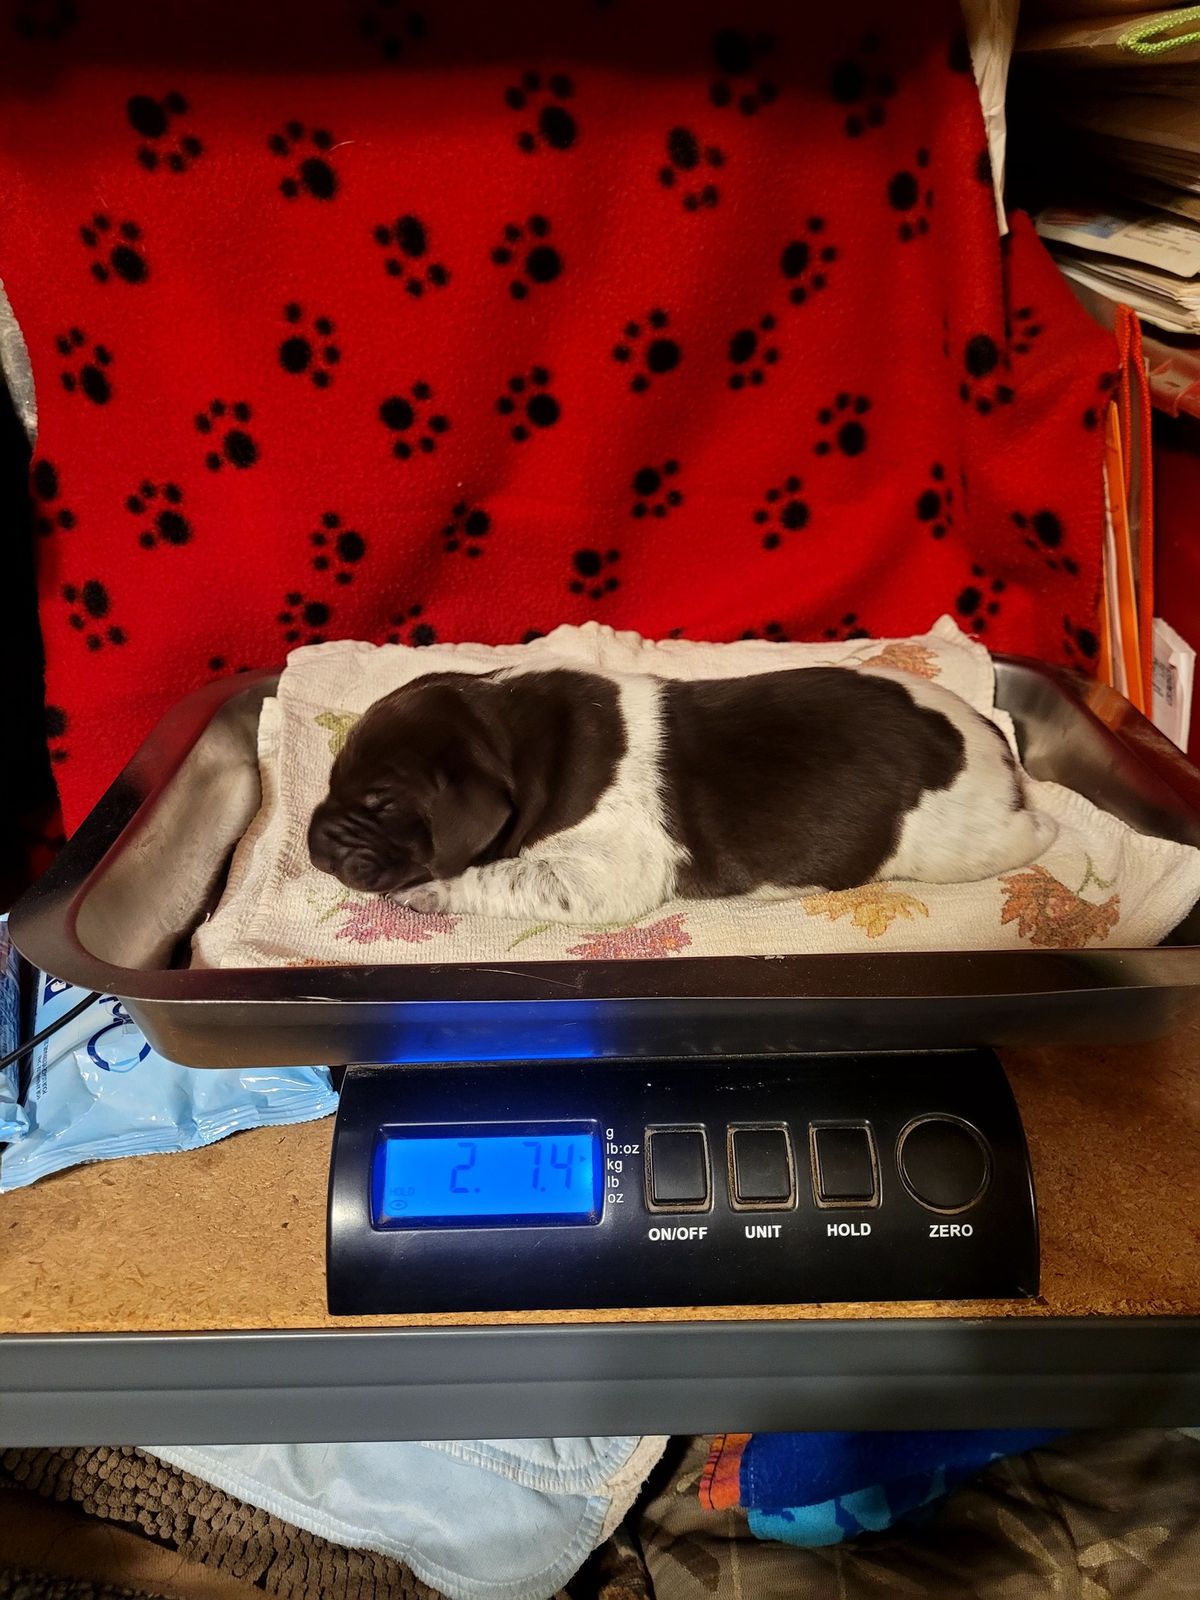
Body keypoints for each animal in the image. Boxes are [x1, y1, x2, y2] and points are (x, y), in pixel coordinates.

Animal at [307, 664, 1056, 924]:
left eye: (381, 803)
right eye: (332, 776)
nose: (313, 841)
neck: (509, 734)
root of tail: (990, 736)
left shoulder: (602, 874)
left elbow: (505, 876)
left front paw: (429, 890)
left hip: (965, 844)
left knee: (1032, 832)